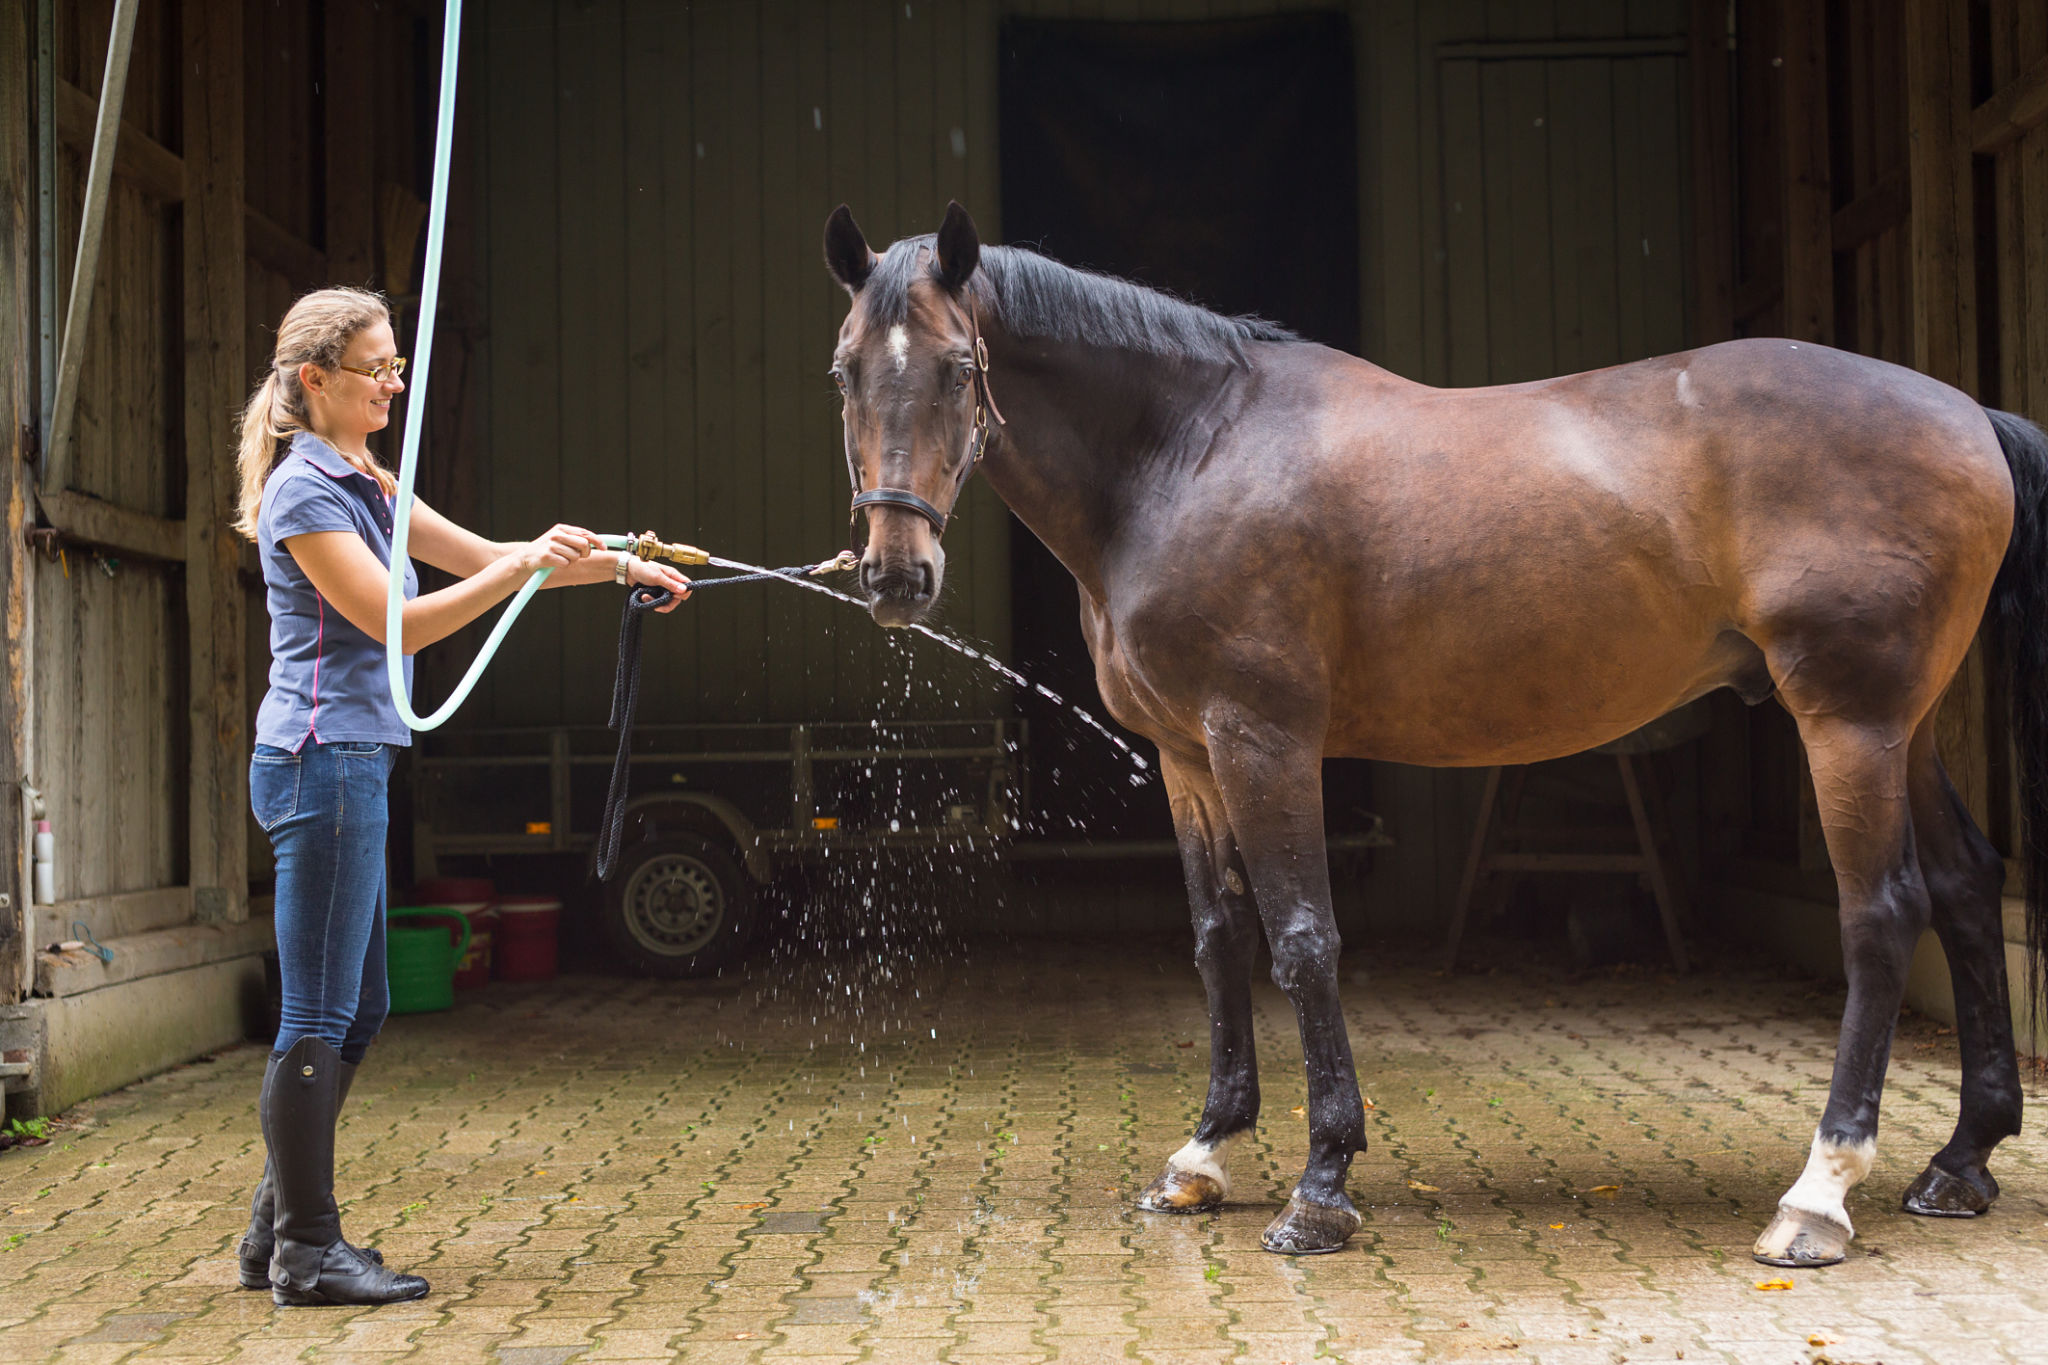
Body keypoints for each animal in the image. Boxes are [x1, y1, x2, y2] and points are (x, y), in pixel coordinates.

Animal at [821, 200, 2048, 1266]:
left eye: (960, 370)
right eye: (843, 370)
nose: (894, 575)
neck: (1189, 451)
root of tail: (1966, 414)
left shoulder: (1262, 738)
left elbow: (1302, 937)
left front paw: (1320, 1185)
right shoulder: (1184, 756)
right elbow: (1219, 939)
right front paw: (1205, 1154)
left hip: (1847, 722)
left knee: (1879, 915)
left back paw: (1818, 1197)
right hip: (1909, 729)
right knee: (1965, 885)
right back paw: (1959, 1164)